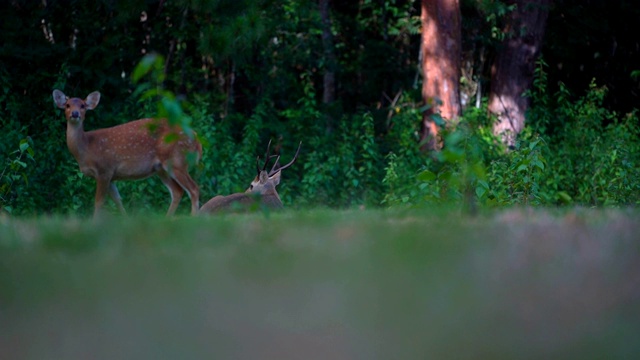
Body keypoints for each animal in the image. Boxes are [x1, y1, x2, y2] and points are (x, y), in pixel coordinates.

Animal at [53, 89, 202, 217]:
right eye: (67, 105)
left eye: (83, 105)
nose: (75, 113)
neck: (87, 148)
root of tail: (196, 139)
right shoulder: (111, 176)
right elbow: (118, 200)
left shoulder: (104, 170)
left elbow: (99, 202)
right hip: (162, 169)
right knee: (177, 191)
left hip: (177, 160)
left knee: (194, 188)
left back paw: (193, 218)